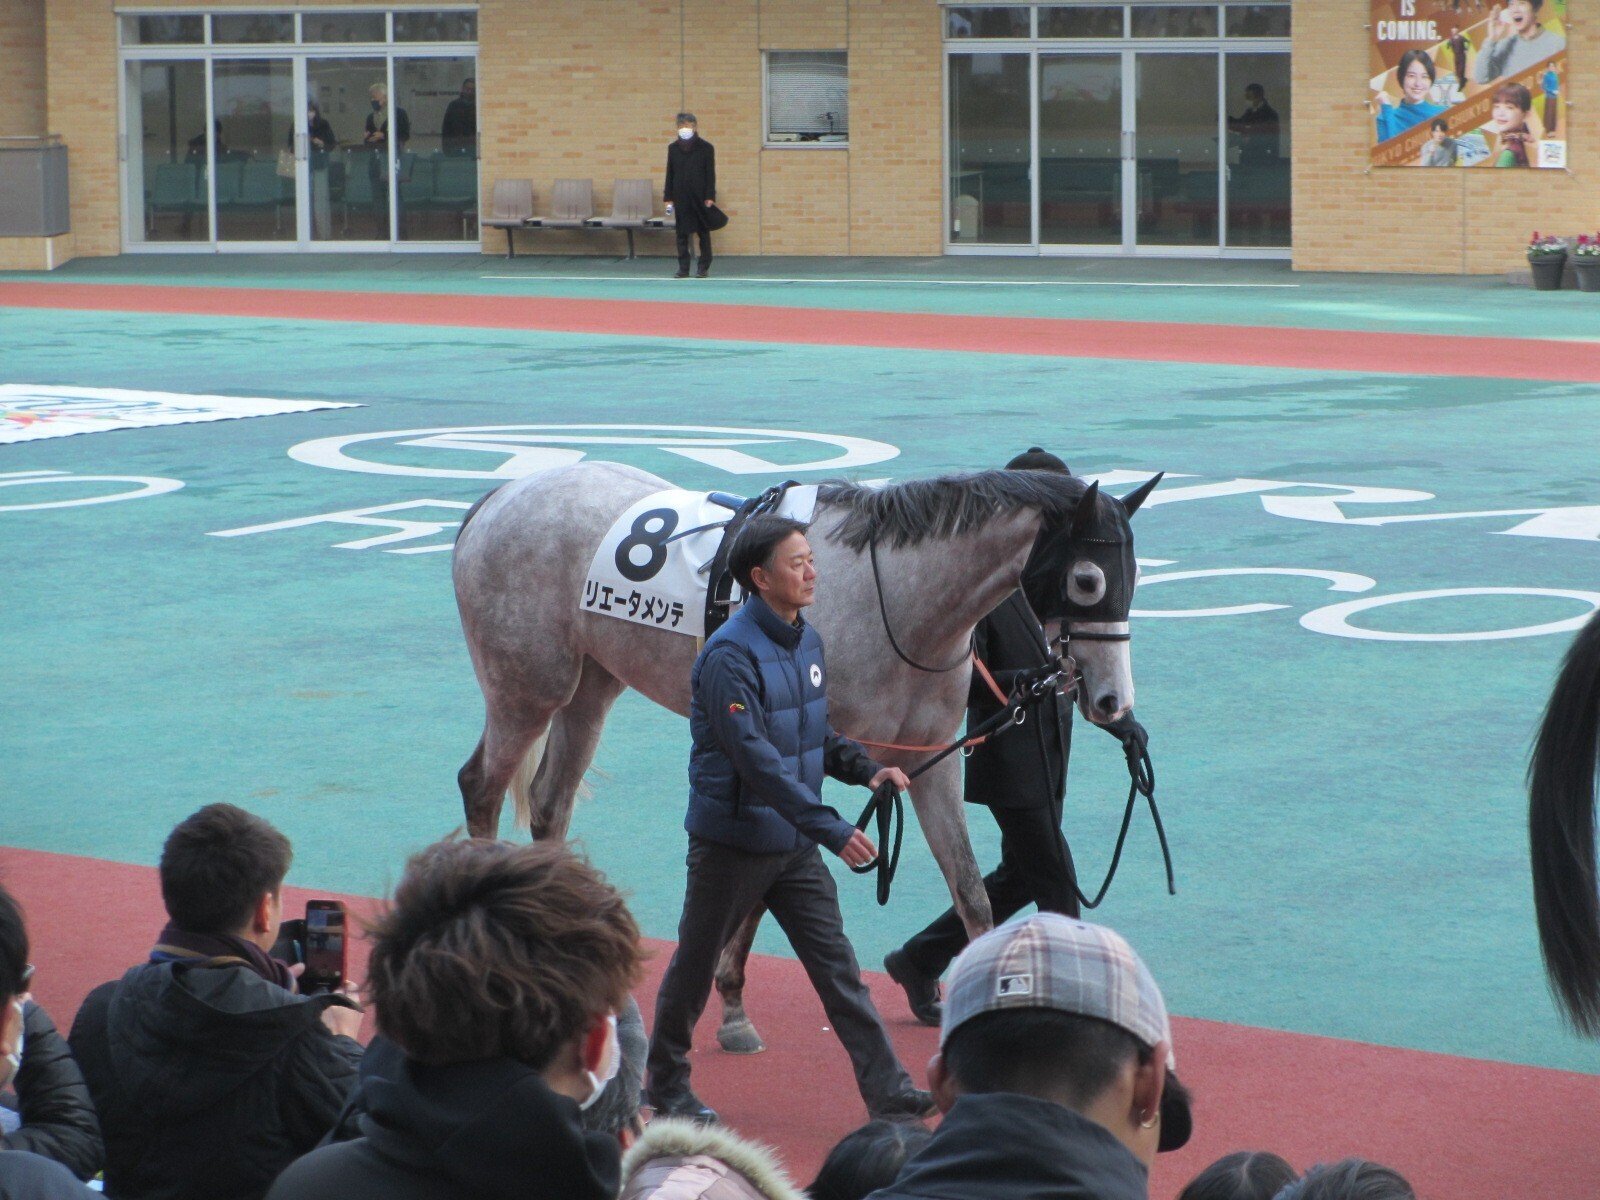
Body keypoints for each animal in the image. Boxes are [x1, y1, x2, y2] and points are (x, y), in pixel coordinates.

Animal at [453, 462, 1158, 1051]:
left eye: (1135, 579)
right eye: (1088, 580)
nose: (1112, 700)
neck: (900, 598)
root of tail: (500, 496)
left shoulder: (933, 761)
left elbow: (970, 892)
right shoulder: (800, 751)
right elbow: (773, 866)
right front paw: (733, 1006)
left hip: (592, 681)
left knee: (550, 802)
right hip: (526, 685)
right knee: (480, 785)